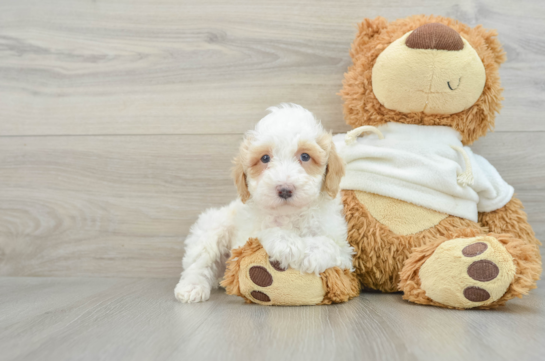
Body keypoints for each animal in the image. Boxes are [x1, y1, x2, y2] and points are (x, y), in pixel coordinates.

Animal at [174, 103, 352, 300]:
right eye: (265, 158)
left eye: (305, 156)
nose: (284, 189)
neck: (290, 214)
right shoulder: (242, 242)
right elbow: (264, 233)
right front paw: (287, 244)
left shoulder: (345, 252)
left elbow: (331, 245)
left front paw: (311, 253)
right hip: (213, 227)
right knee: (198, 263)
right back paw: (192, 287)